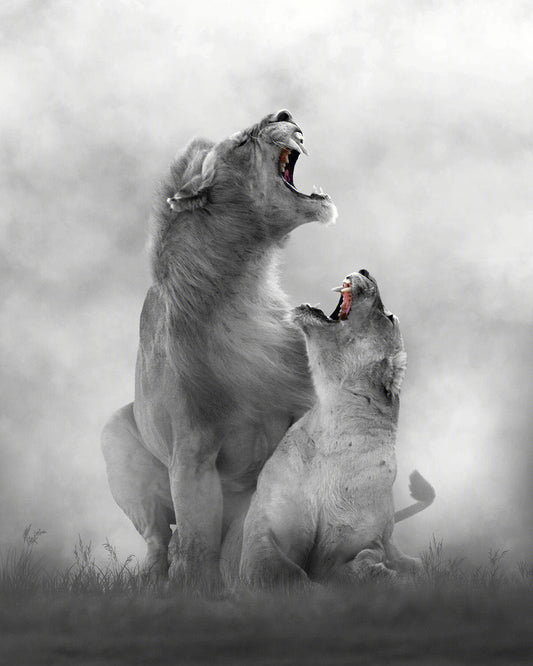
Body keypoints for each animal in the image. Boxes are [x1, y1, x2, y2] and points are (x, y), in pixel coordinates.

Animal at [101, 110, 337, 593]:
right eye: (245, 141)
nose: (284, 114)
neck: (243, 283)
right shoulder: (192, 453)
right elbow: (197, 542)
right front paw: (198, 591)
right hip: (114, 438)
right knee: (159, 540)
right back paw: (153, 581)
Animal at [237, 270, 435, 586]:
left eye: (388, 316)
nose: (365, 271)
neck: (334, 430)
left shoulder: (350, 543)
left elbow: (347, 568)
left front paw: (377, 570)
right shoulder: (263, 529)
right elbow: (283, 572)